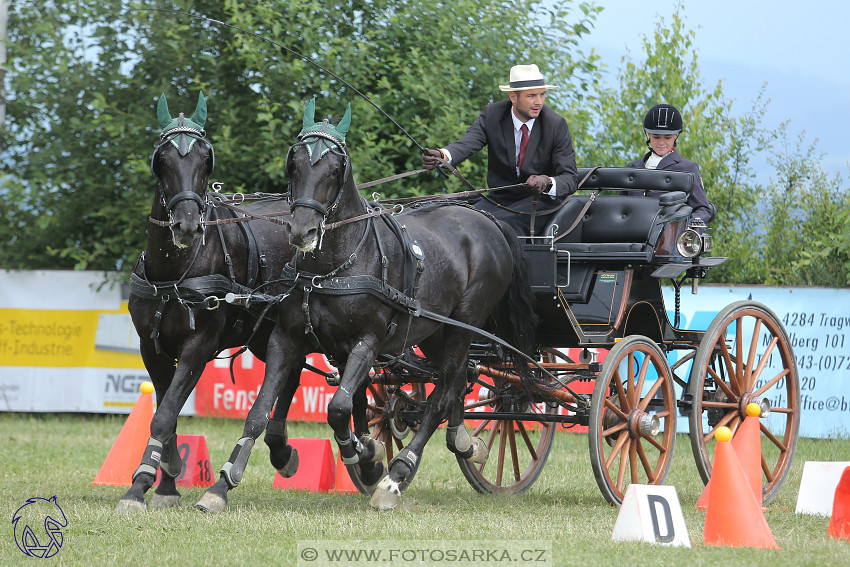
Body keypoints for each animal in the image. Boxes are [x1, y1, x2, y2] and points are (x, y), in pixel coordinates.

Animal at [112, 92, 298, 510]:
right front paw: (166, 478)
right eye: (162, 160)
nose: (185, 225)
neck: (175, 272)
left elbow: (164, 415)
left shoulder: (199, 345)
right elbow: (166, 411)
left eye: (204, 160)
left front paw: (139, 485)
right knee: (291, 374)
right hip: (262, 335)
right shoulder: (152, 347)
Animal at [195, 100, 532, 512]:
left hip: (463, 326)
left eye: (334, 168)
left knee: (440, 398)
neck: (333, 266)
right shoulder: (286, 340)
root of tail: (487, 220)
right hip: (435, 332)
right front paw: (221, 486)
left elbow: (339, 407)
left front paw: (366, 457)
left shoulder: (367, 343)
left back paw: (396, 475)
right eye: (294, 163)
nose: (302, 231)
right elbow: (260, 411)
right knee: (455, 384)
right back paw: (464, 443)